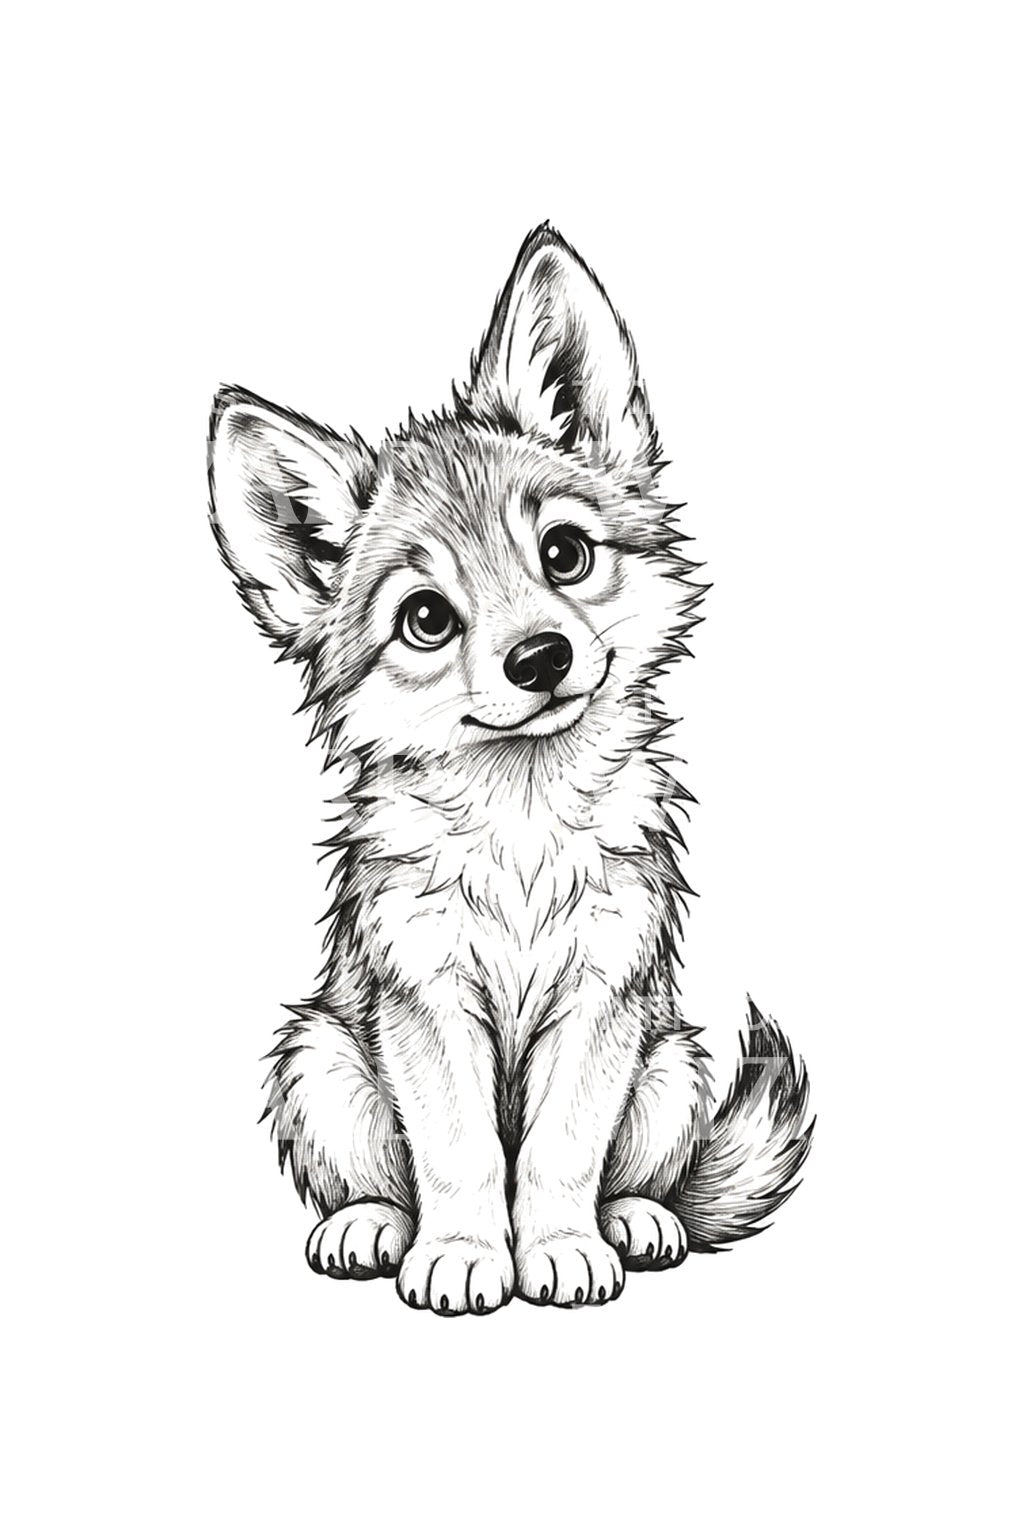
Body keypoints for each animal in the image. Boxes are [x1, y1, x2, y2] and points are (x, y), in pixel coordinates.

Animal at [207, 224, 812, 1315]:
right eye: (425, 619)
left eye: (564, 553)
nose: (540, 658)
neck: (521, 822)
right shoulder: (426, 999)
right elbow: (461, 1152)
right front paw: (461, 1254)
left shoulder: (604, 997)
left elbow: (560, 1150)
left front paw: (561, 1247)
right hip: (318, 1059)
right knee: (374, 1180)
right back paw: (370, 1228)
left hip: (671, 1064)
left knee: (644, 1174)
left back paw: (637, 1219)